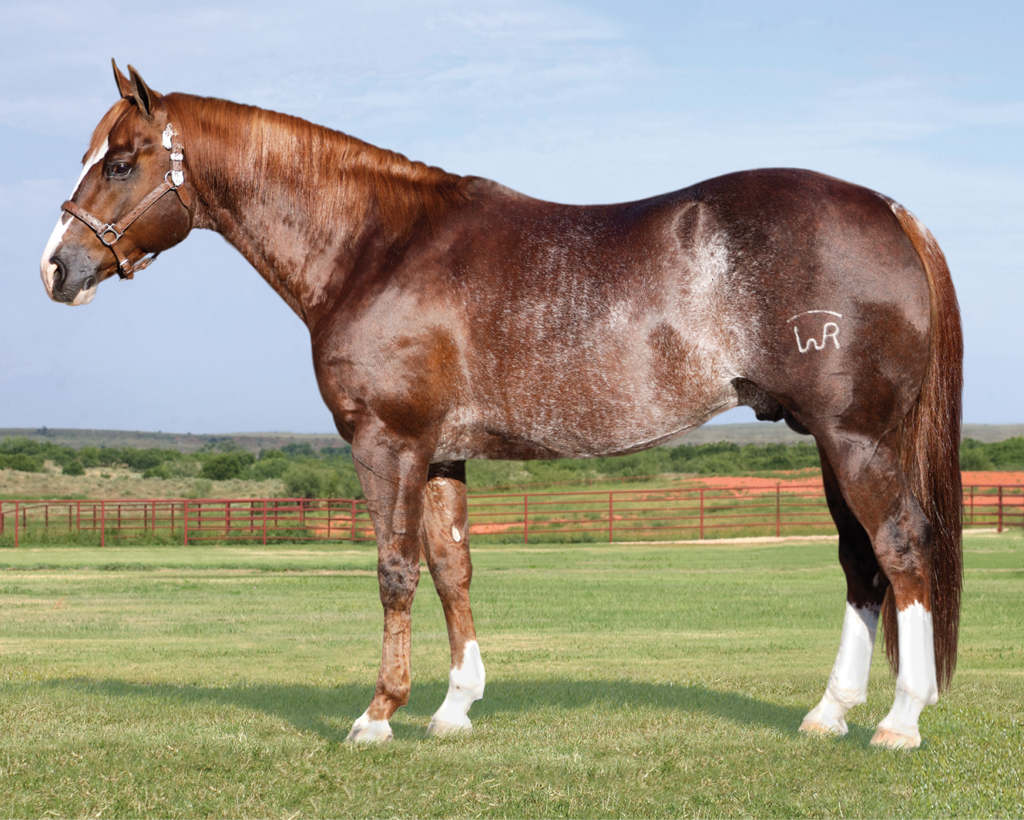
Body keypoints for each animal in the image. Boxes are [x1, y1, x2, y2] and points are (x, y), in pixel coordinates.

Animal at [40, 62, 962, 749]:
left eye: (121, 161)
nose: (57, 266)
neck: (377, 246)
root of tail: (887, 209)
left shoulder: (387, 444)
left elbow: (395, 570)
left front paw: (378, 715)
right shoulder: (441, 452)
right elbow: (453, 568)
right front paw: (454, 708)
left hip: (857, 438)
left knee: (901, 547)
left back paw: (902, 719)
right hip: (831, 441)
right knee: (861, 564)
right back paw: (829, 714)